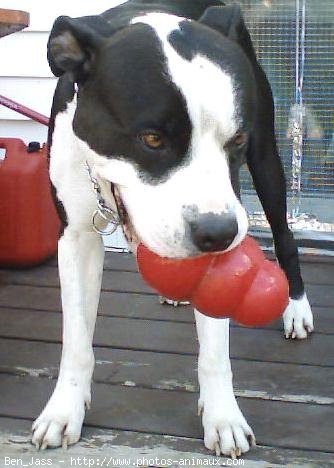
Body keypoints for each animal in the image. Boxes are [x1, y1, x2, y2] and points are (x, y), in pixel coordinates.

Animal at [30, 1, 314, 458]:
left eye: (235, 139)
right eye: (151, 139)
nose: (218, 233)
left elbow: (214, 351)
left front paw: (223, 416)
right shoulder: (75, 238)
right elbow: (76, 341)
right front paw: (64, 409)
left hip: (268, 160)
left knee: (285, 236)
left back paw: (297, 307)